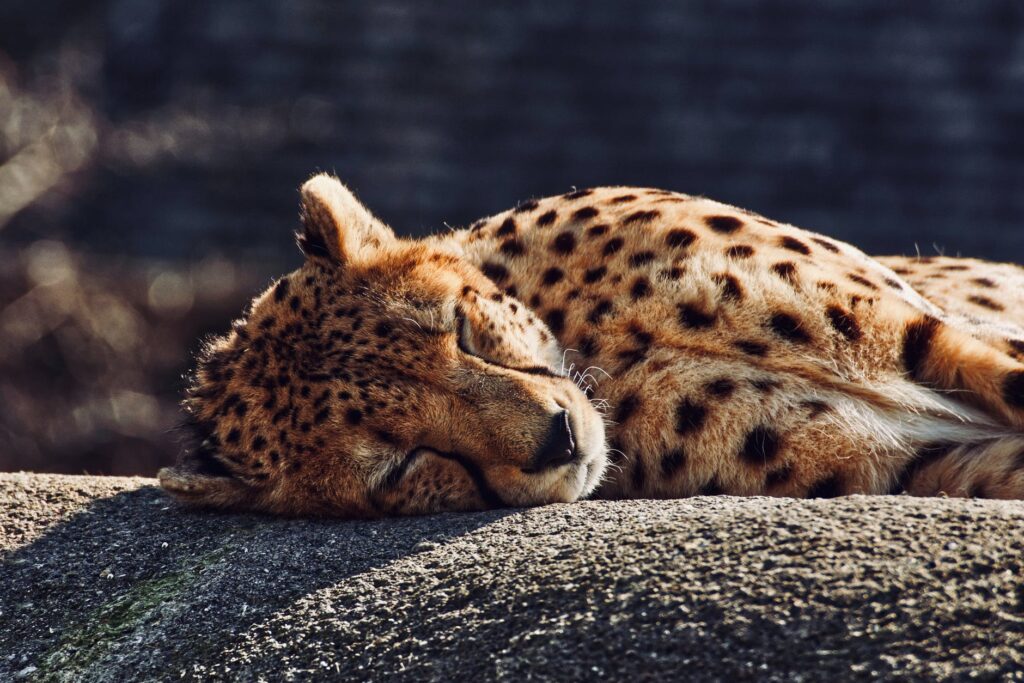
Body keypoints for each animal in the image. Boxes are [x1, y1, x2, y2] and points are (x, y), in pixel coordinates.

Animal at [155, 174, 1024, 516]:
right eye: (402, 464)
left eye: (457, 329)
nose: (558, 438)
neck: (596, 351)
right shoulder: (911, 465)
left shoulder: (924, 333)